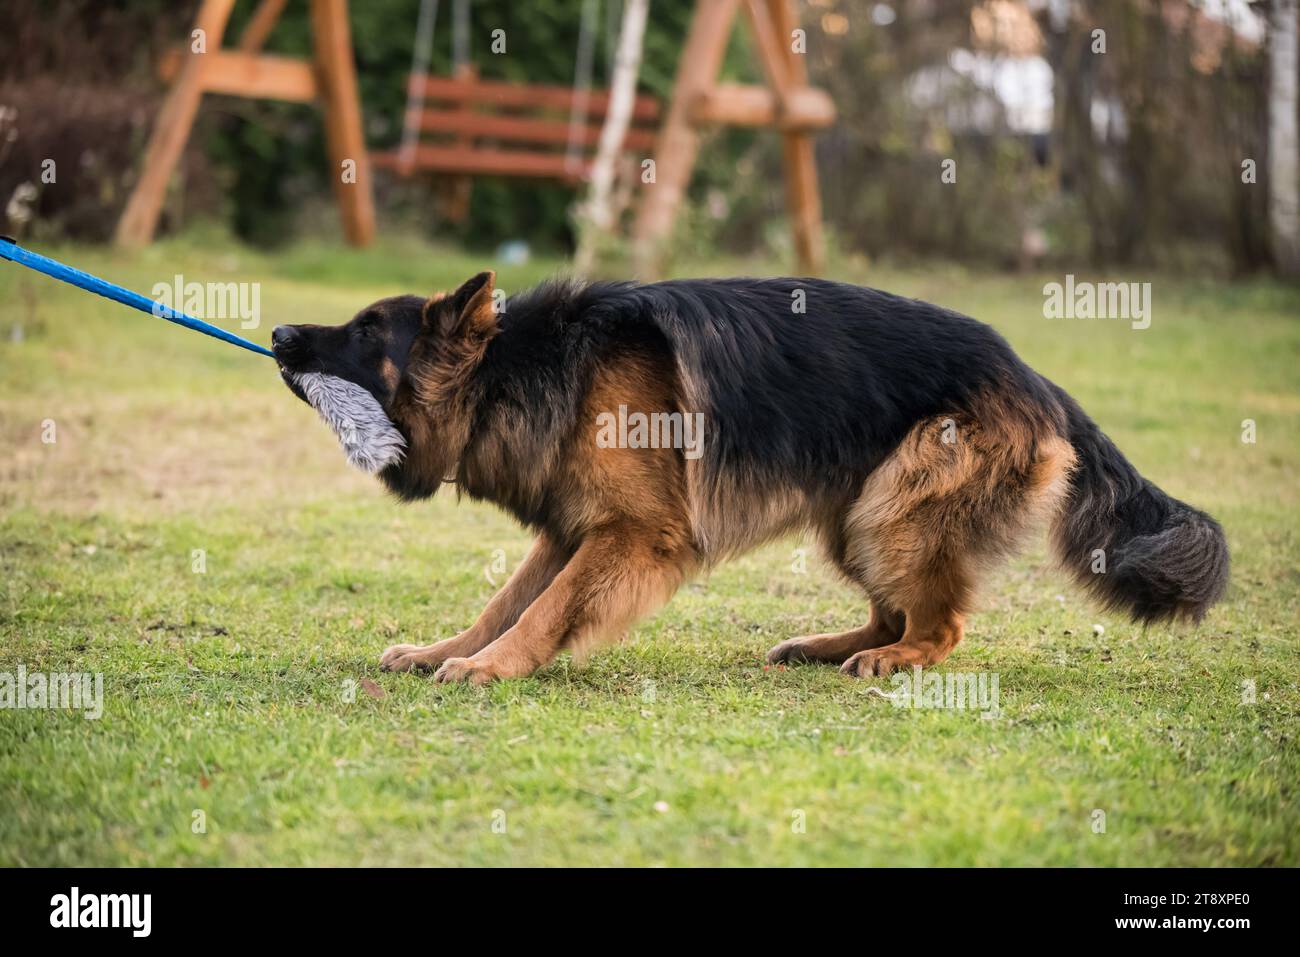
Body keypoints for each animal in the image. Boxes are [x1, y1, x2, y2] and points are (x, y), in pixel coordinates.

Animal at [274, 273, 1227, 686]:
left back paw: (893, 658)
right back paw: (829, 645)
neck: (530, 368)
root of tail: (1035, 376)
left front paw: (491, 669)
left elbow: (543, 611)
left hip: (896, 504)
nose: (279, 331)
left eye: (366, 332)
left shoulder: (631, 535)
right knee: (894, 606)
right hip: (855, 514)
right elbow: (505, 601)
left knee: (940, 624)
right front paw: (450, 650)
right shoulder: (573, 529)